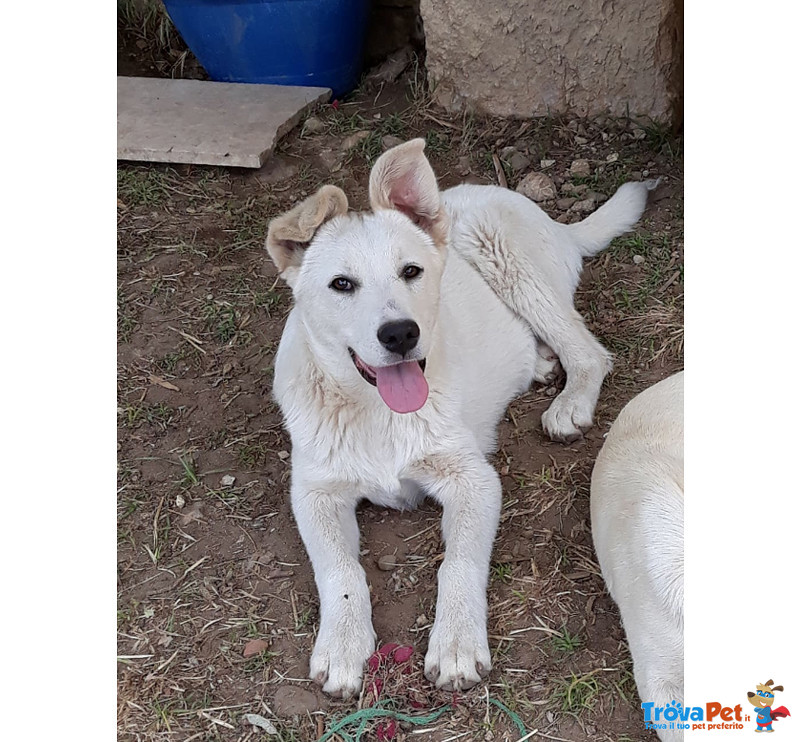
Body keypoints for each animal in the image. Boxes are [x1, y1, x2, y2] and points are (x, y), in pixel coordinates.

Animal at [268, 140, 656, 696]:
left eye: (411, 271)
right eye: (341, 284)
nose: (401, 334)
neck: (378, 412)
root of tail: (550, 219)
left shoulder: (473, 480)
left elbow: (458, 563)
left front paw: (455, 643)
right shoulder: (315, 492)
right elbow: (340, 571)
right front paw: (342, 647)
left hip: (507, 257)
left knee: (587, 350)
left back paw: (570, 402)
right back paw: (539, 363)